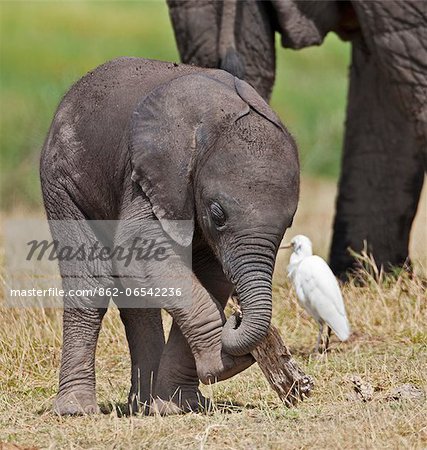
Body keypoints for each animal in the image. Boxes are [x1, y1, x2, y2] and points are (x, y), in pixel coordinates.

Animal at [41, 57, 300, 414]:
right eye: (217, 214)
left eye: (289, 222)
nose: (235, 319)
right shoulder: (152, 176)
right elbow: (139, 251)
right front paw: (229, 365)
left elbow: (211, 276)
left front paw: (181, 406)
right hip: (62, 181)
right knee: (90, 282)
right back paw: (76, 410)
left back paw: (143, 405)